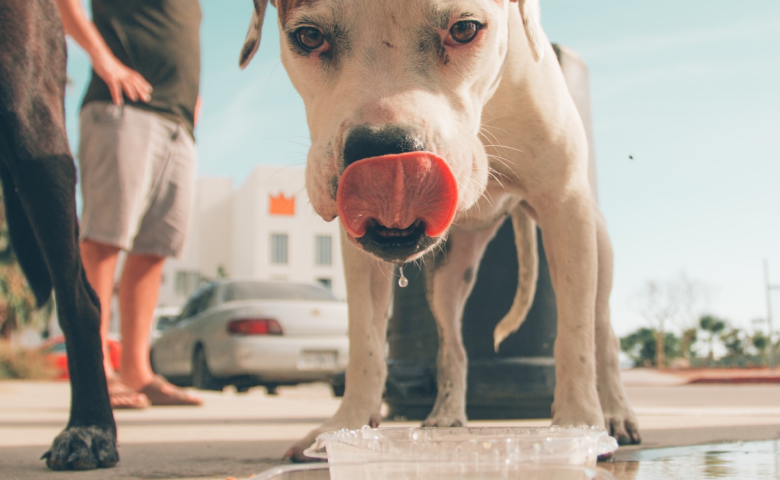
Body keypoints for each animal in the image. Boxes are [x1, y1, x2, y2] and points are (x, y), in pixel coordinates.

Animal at [238, 0, 640, 460]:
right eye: (308, 37)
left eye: (465, 29)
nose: (385, 152)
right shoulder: (359, 254)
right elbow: (365, 343)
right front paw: (346, 426)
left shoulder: (565, 204)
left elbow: (573, 337)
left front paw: (578, 425)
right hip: (448, 276)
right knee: (453, 347)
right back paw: (446, 415)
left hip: (596, 245)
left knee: (601, 331)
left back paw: (616, 413)